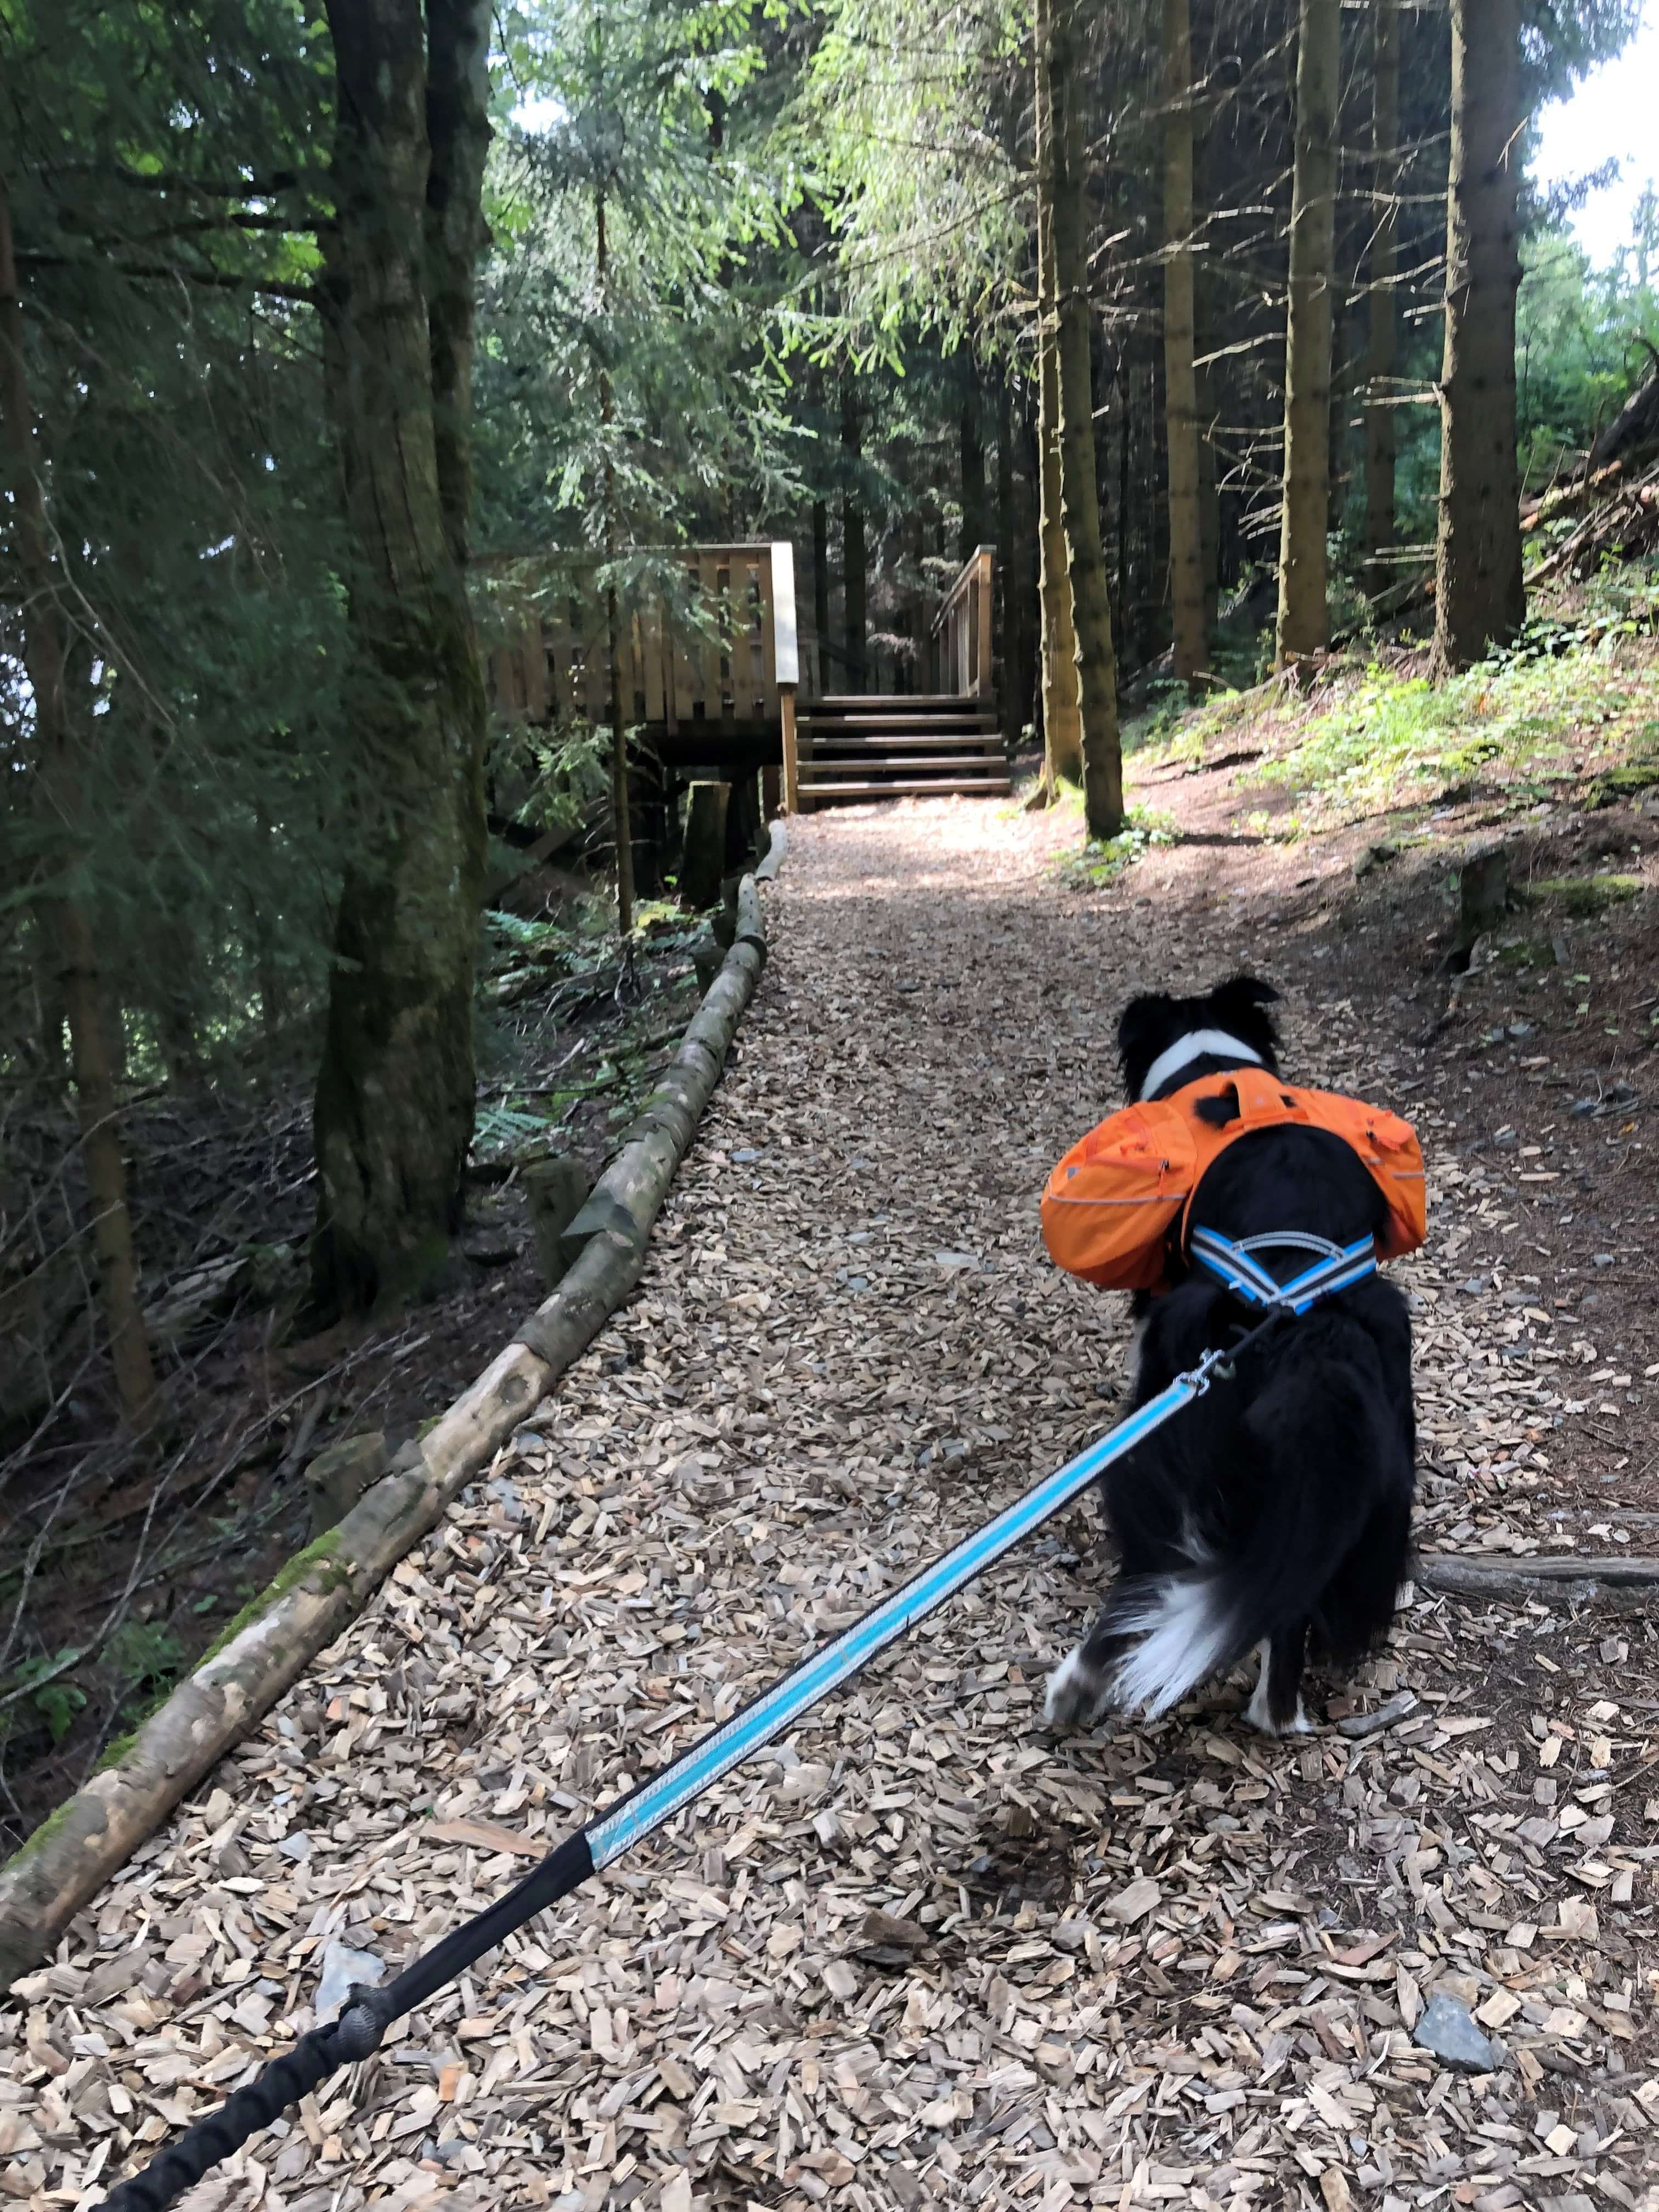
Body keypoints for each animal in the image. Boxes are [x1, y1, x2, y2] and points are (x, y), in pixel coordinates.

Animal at [1040, 978, 1415, 1734]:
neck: (1217, 1066)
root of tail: (1303, 1331)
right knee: (1283, 1600)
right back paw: (1273, 1711)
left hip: (1159, 1455)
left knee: (1146, 1583)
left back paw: (1075, 1691)